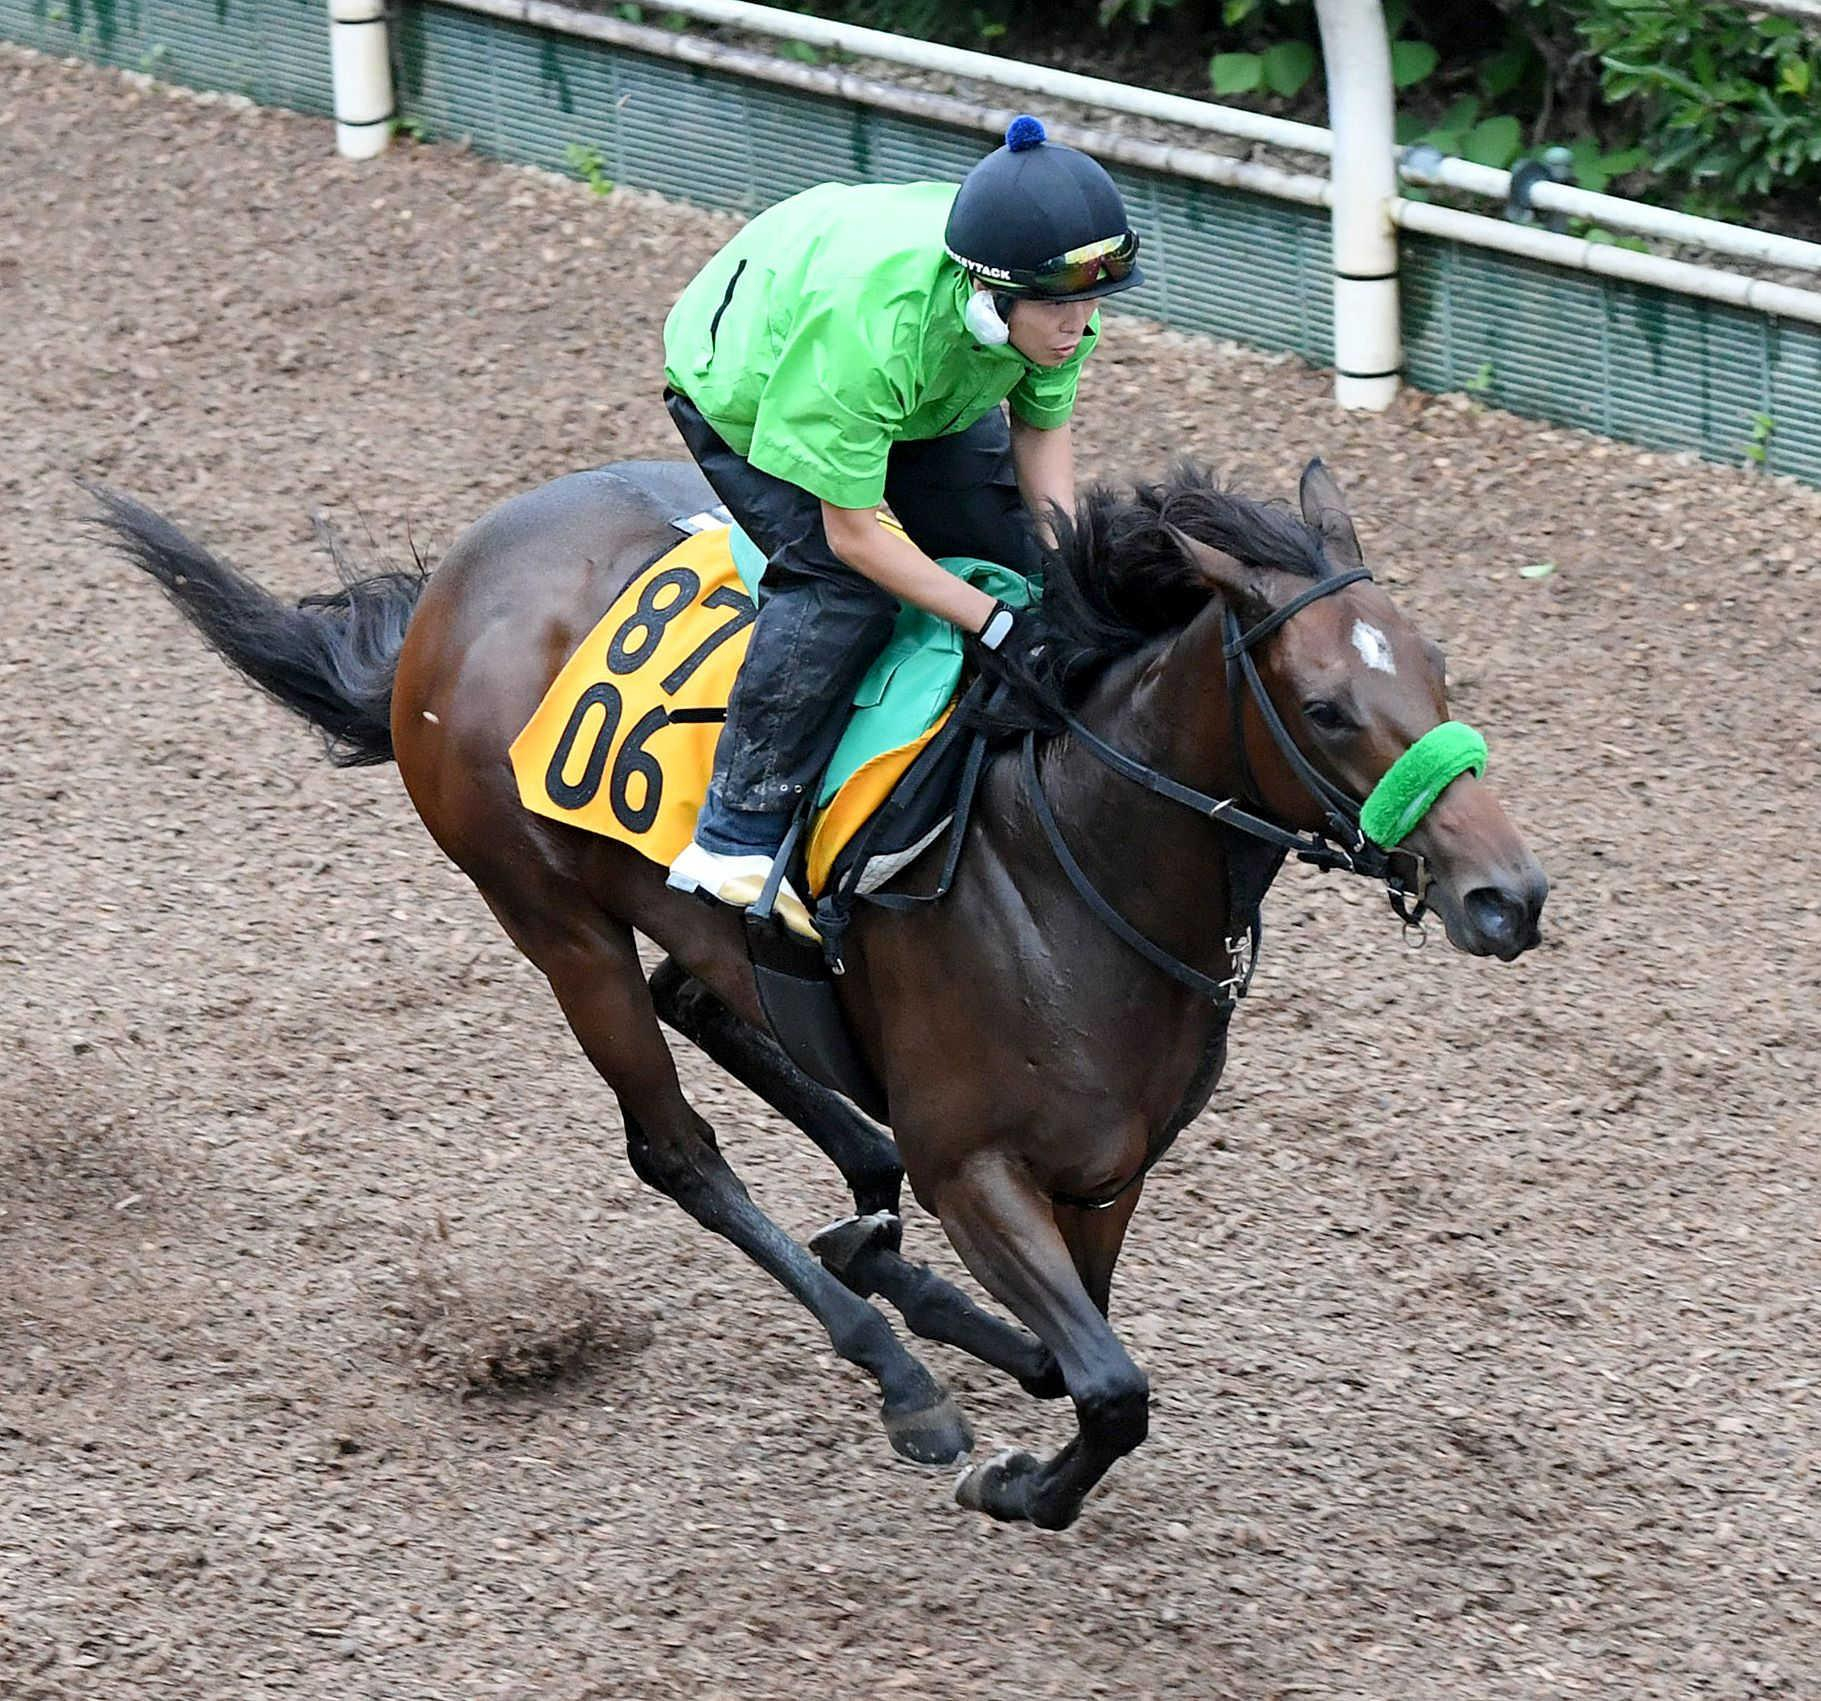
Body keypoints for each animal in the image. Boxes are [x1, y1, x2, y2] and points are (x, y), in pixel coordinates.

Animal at [96, 453, 1551, 1529]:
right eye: (1325, 706)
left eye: (1436, 668)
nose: (1508, 895)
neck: (1077, 863)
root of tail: (459, 576)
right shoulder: (980, 1165)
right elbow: (1110, 1382)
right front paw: (1014, 1481)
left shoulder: (1107, 1170)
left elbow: (1080, 1353)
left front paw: (958, 1328)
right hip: (553, 921)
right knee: (674, 1145)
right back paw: (897, 1367)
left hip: (703, 924)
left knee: (722, 1017)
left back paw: (880, 1250)